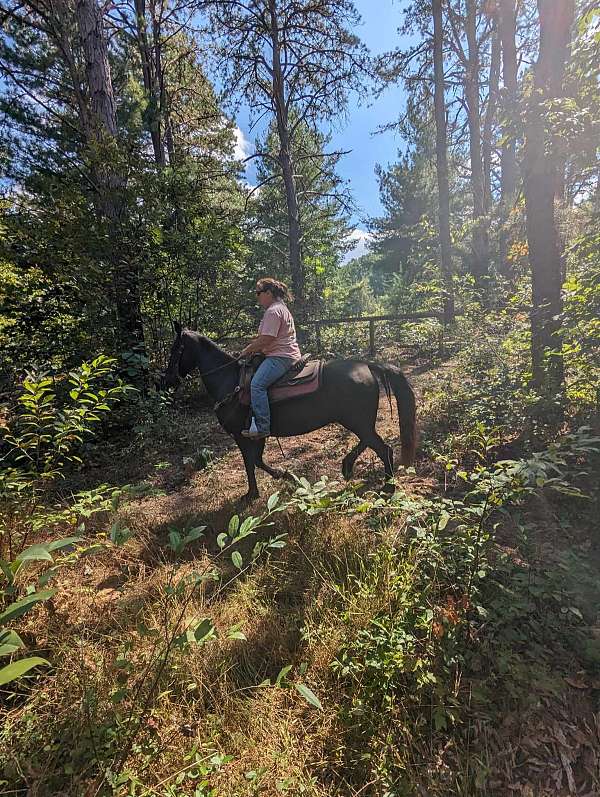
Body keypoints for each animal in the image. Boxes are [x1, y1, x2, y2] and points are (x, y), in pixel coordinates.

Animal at [164, 322, 418, 498]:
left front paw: (252, 494)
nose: (165, 381)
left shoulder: (240, 435)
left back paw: (388, 486)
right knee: (369, 442)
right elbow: (257, 460)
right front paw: (285, 475)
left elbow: (250, 463)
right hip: (358, 421)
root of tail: (366, 364)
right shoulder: (257, 433)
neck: (230, 381)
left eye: (175, 350)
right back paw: (347, 466)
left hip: (357, 421)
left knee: (383, 449)